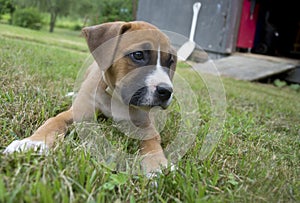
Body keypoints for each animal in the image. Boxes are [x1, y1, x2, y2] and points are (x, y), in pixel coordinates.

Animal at [3, 21, 177, 174]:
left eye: (170, 62)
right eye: (138, 55)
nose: (166, 91)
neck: (115, 95)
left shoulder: (146, 124)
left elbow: (152, 143)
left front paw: (158, 166)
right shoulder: (79, 110)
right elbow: (53, 121)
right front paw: (33, 142)